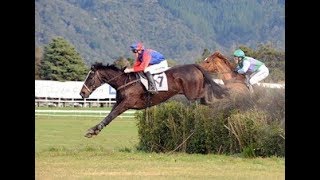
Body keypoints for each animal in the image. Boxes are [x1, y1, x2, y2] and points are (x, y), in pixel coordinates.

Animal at [79, 62, 229, 137]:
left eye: (90, 77)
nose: (82, 93)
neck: (125, 82)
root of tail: (194, 66)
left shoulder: (127, 103)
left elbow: (111, 115)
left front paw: (95, 130)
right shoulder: (119, 102)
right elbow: (109, 115)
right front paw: (93, 130)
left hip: (194, 93)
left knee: (209, 98)